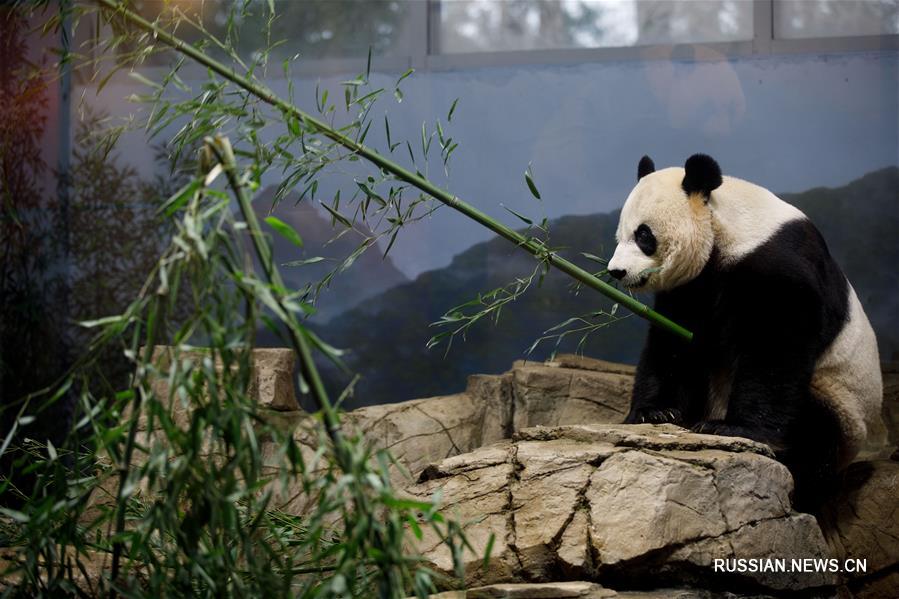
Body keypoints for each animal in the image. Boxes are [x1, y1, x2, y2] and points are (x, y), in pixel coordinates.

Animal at [608, 155, 884, 510]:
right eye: (621, 235)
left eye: (644, 236)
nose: (616, 272)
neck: (728, 227)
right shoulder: (691, 287)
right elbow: (674, 344)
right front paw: (655, 411)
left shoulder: (778, 264)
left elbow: (775, 346)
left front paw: (733, 428)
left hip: (842, 400)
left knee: (817, 432)